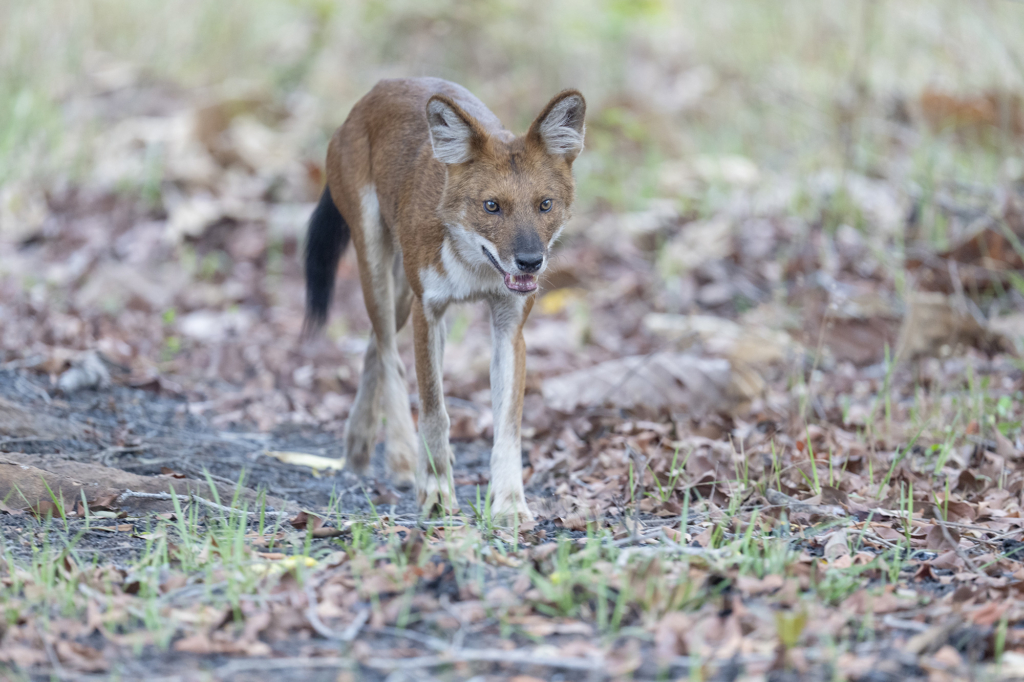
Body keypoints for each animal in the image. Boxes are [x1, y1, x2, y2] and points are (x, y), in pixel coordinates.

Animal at [301, 76, 585, 518]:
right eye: (491, 206)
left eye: (545, 204)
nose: (530, 262)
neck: (476, 267)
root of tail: (380, 87)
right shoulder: (429, 310)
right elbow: (435, 409)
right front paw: (435, 490)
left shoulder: (509, 327)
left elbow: (508, 423)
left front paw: (509, 503)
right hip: (377, 267)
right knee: (388, 352)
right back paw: (402, 457)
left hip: (405, 292)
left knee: (375, 346)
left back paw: (360, 444)